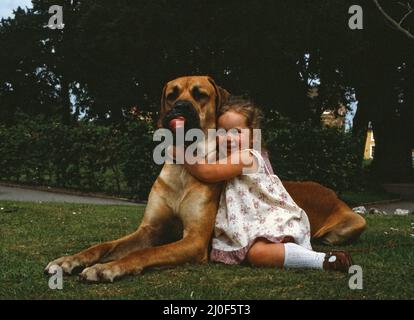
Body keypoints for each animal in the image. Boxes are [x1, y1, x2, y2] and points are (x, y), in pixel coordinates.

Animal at [43, 75, 364, 282]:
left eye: (200, 94)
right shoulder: (149, 229)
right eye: (172, 94)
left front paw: (108, 268)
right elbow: (103, 246)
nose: (180, 108)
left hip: (355, 222)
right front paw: (69, 260)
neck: (183, 170)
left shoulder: (195, 240)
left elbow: (146, 253)